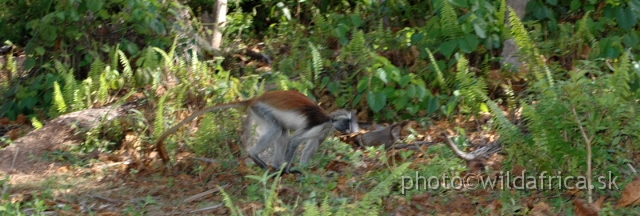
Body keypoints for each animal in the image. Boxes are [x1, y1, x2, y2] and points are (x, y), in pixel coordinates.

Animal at [157, 90, 352, 173]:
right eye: (346, 122)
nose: (350, 129)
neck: (328, 121)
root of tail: (255, 99)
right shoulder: (317, 125)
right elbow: (294, 141)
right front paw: (289, 170)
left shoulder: (323, 132)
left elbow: (310, 147)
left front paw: (305, 169)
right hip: (261, 110)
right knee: (277, 131)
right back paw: (260, 159)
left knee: (281, 132)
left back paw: (274, 167)